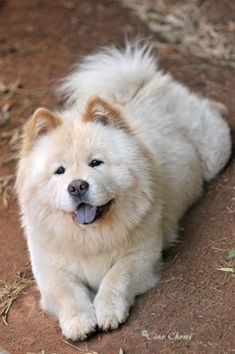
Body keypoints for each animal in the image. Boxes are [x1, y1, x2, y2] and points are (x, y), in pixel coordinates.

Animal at [16, 42, 231, 340]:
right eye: (59, 171)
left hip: (215, 155)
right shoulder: (50, 270)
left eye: (96, 163)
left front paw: (107, 311)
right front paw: (79, 322)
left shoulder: (140, 254)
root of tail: (146, 82)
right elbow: (67, 292)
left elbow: (116, 277)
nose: (77, 185)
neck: (91, 236)